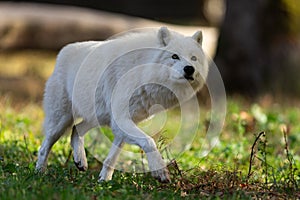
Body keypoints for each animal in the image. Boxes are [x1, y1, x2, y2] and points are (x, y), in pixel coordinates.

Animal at [35, 26, 209, 183]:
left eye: (194, 58)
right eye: (174, 56)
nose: (189, 69)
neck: (143, 72)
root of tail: (64, 50)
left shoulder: (123, 123)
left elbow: (111, 158)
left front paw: (104, 181)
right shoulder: (121, 120)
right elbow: (149, 141)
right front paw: (160, 171)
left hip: (97, 117)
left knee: (76, 130)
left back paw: (80, 162)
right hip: (61, 121)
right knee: (44, 147)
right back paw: (39, 173)